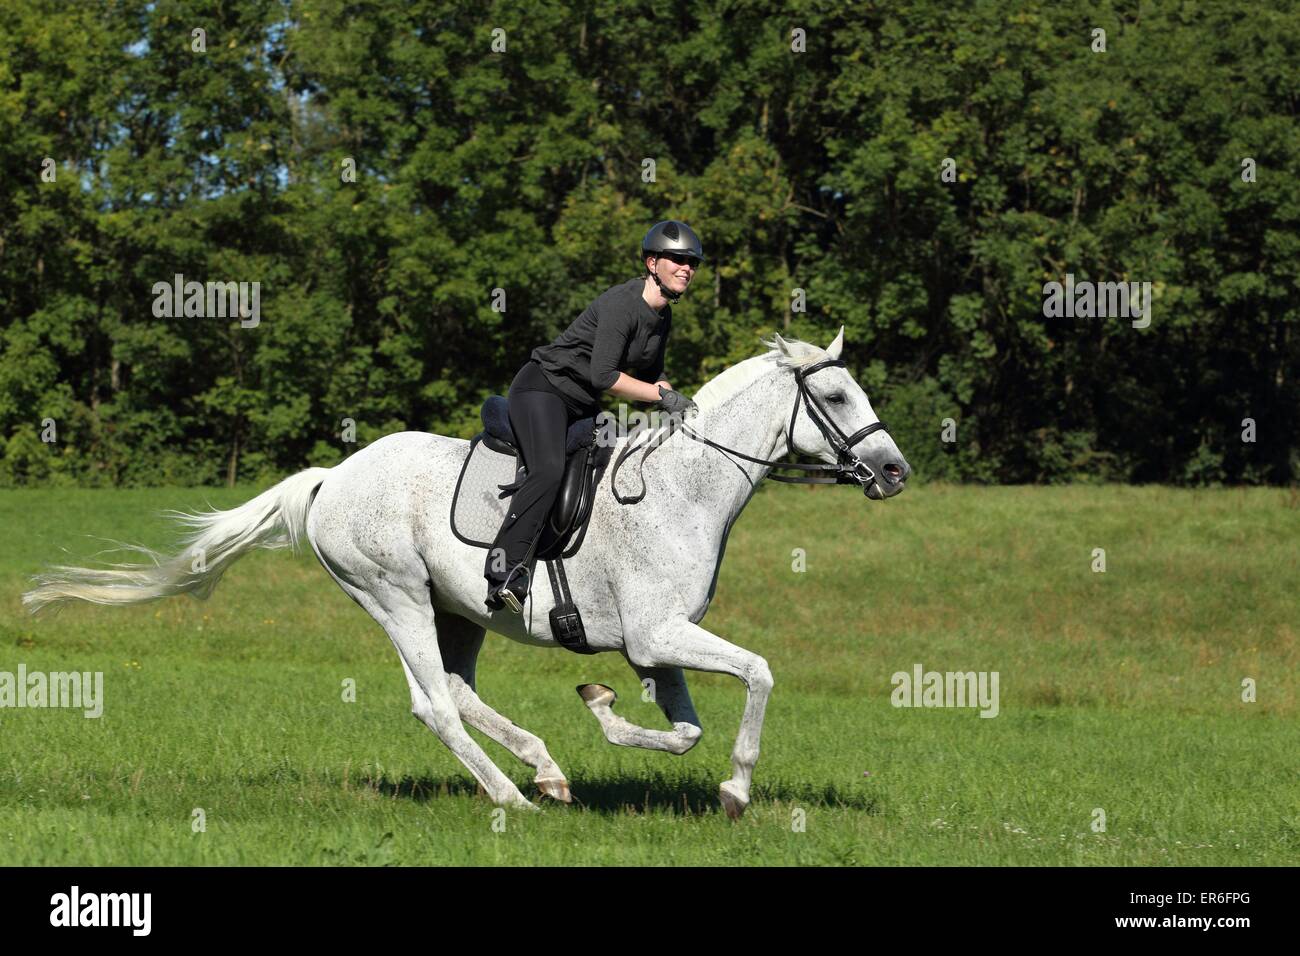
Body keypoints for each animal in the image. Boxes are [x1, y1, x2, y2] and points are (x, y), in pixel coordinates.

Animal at [22, 329, 915, 816]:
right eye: (838, 396)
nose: (895, 472)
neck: (683, 489)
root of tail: (332, 477)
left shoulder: (653, 647)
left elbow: (683, 728)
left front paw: (603, 712)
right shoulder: (659, 635)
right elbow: (758, 675)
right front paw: (736, 792)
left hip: (460, 609)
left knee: (458, 690)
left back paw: (545, 771)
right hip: (395, 598)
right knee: (434, 706)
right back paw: (512, 798)